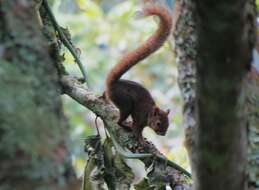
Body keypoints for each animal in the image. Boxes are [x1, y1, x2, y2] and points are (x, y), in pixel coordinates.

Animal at [104, 5, 174, 141]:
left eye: (168, 123)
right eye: (158, 123)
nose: (163, 134)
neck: (148, 113)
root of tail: (112, 83)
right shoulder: (139, 117)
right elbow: (137, 129)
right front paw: (141, 140)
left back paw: (102, 96)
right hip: (125, 103)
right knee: (118, 122)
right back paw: (125, 125)